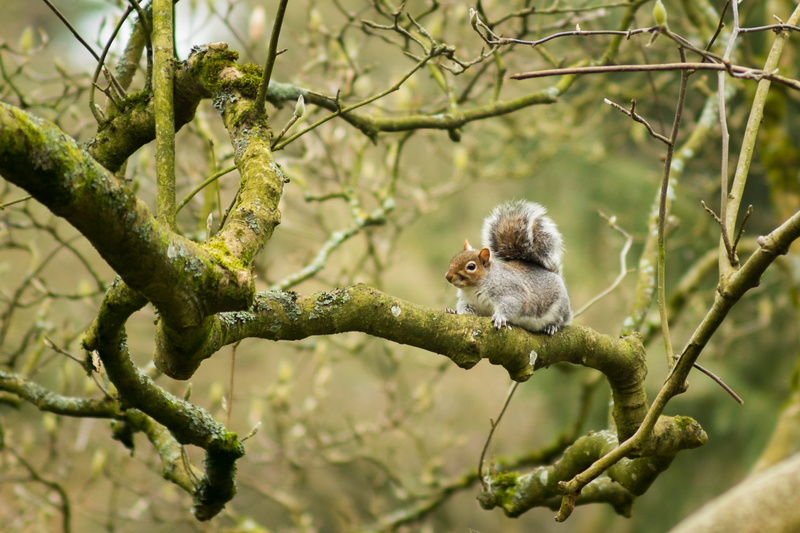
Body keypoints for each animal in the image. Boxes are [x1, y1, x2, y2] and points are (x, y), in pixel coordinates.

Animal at [445, 200, 572, 335]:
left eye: (471, 266)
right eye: (453, 258)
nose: (448, 276)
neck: (473, 288)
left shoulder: (510, 291)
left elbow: (511, 304)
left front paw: (499, 317)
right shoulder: (469, 303)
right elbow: (467, 312)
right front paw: (453, 312)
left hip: (561, 306)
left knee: (562, 319)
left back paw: (552, 326)